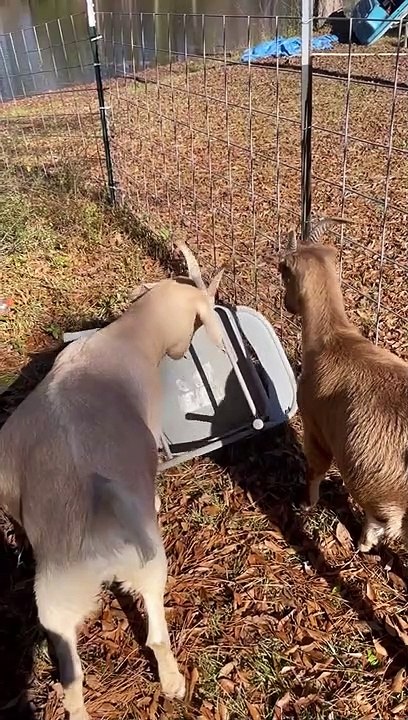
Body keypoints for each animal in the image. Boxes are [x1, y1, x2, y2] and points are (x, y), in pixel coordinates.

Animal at [0, 241, 224, 720]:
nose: (183, 351)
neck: (131, 335)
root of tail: (98, 535)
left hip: (56, 606)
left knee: (71, 678)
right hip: (146, 566)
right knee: (156, 633)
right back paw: (173, 682)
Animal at [278, 219, 408, 553]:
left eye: (283, 270)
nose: (288, 305)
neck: (334, 339)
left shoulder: (314, 425)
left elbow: (316, 468)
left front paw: (307, 504)